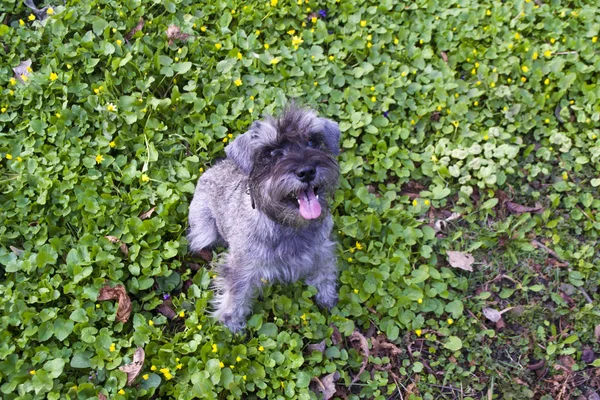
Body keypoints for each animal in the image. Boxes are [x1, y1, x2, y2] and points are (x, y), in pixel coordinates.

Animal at [188, 105, 340, 332]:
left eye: (312, 141)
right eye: (271, 153)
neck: (288, 225)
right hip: (204, 231)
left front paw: (327, 295)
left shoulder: (321, 248)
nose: (306, 171)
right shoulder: (242, 266)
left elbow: (324, 269)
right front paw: (231, 320)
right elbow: (236, 291)